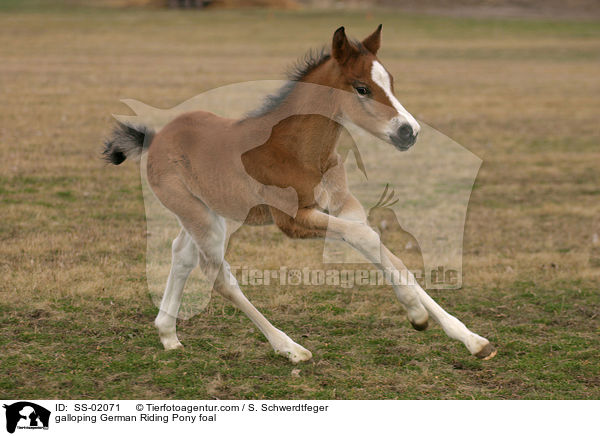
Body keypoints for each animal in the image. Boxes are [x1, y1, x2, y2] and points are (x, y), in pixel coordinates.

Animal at [104, 25, 496, 362]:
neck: (298, 150)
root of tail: (154, 138)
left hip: (215, 213)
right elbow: (367, 239)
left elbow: (384, 251)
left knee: (182, 255)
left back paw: (168, 334)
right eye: (361, 88)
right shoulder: (294, 221)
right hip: (199, 216)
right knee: (217, 274)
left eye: (391, 82)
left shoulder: (344, 207)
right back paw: (289, 347)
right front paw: (416, 313)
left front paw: (471, 339)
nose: (408, 132)